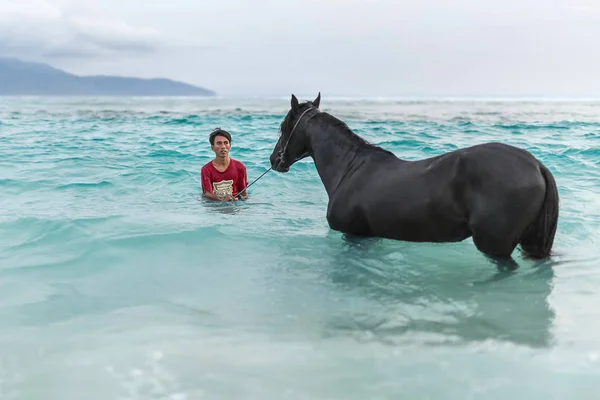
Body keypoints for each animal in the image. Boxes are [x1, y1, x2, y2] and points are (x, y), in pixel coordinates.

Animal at [270, 93, 560, 268]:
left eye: (283, 127)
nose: (274, 160)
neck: (350, 168)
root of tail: (536, 164)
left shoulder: (353, 235)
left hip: (495, 245)